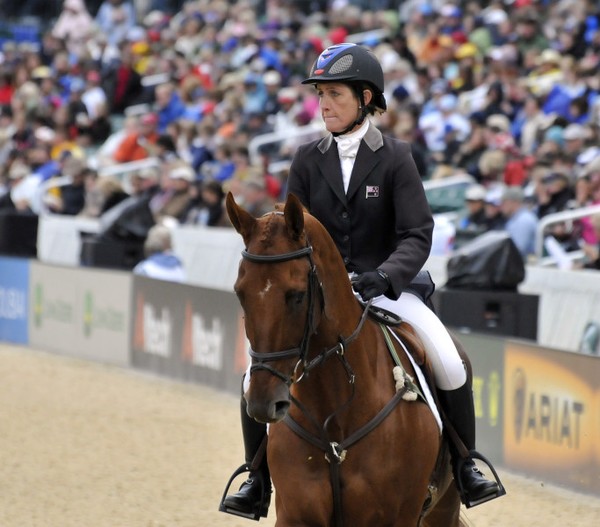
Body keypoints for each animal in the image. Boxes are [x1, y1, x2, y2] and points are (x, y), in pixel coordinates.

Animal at [225, 194, 464, 527]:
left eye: (297, 295)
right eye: (240, 293)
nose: (262, 403)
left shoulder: (396, 518)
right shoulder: (295, 516)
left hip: (444, 507)